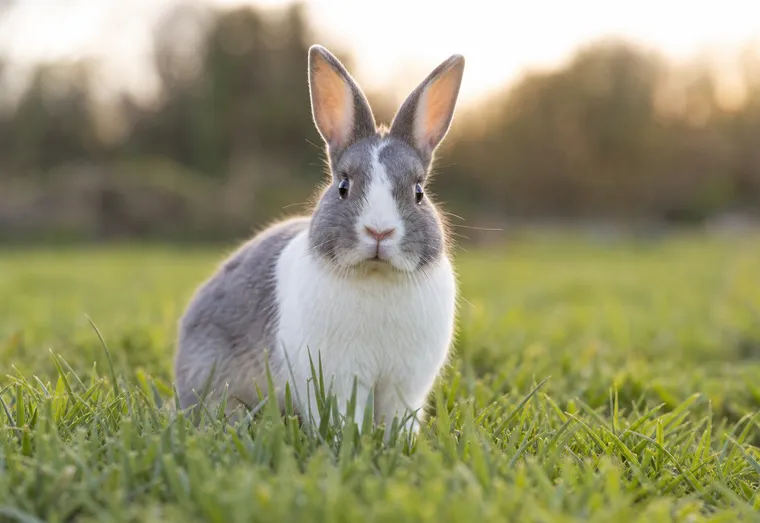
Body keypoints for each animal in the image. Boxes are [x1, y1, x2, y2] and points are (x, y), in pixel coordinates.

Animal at [174, 44, 465, 436]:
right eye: (343, 186)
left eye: (419, 192)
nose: (379, 231)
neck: (375, 276)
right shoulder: (337, 377)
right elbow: (342, 412)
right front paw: (346, 438)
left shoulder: (405, 385)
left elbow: (397, 417)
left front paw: (400, 442)